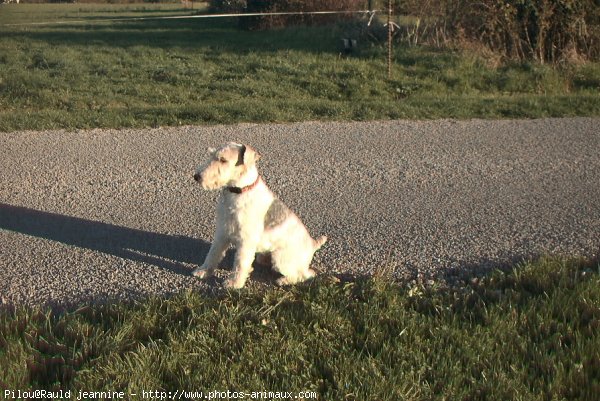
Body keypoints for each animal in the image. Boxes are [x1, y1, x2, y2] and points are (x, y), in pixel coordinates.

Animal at [192, 141, 326, 288]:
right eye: (211, 154)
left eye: (223, 160)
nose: (197, 176)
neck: (239, 191)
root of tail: (313, 244)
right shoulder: (222, 232)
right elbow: (212, 254)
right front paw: (203, 271)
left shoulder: (245, 240)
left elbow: (240, 263)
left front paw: (234, 283)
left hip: (281, 260)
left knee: (306, 274)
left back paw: (283, 281)